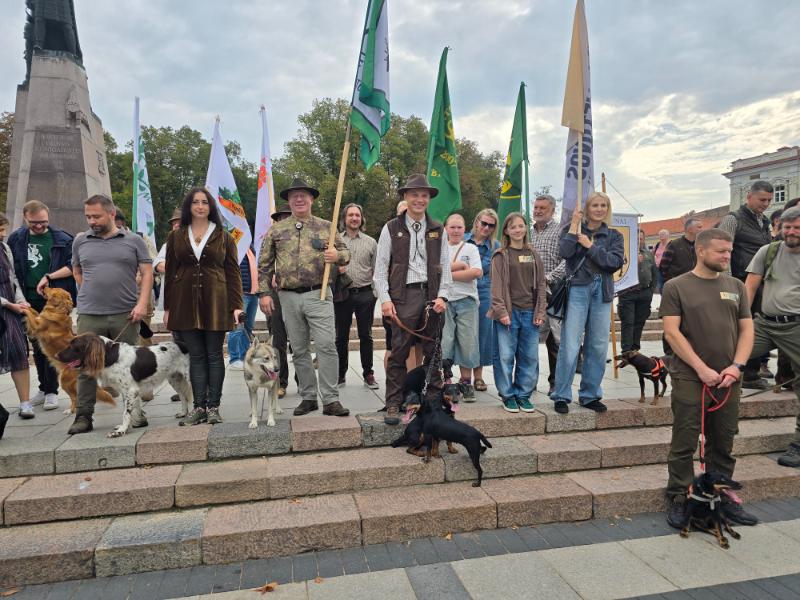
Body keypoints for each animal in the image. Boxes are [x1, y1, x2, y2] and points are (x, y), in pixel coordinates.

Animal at [57, 332, 193, 436]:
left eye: (74, 345)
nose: (56, 355)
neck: (110, 356)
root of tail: (184, 344)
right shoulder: (124, 391)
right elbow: (127, 410)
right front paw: (126, 427)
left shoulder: (130, 390)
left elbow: (126, 413)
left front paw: (121, 430)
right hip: (174, 379)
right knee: (183, 396)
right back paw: (183, 413)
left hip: (188, 377)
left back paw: (192, 415)